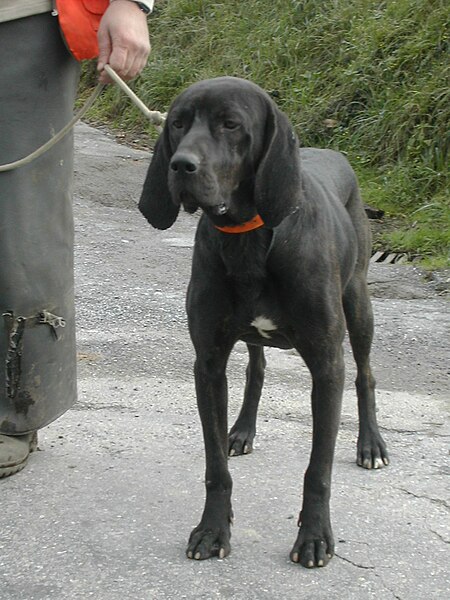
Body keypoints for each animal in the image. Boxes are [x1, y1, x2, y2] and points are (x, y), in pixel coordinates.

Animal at [139, 76, 388, 568]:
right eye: (177, 122)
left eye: (231, 124)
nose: (181, 166)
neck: (249, 237)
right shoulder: (208, 363)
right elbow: (215, 465)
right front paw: (212, 529)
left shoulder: (327, 366)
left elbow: (318, 469)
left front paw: (314, 536)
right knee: (257, 369)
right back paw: (242, 429)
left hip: (358, 304)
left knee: (366, 374)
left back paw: (370, 444)